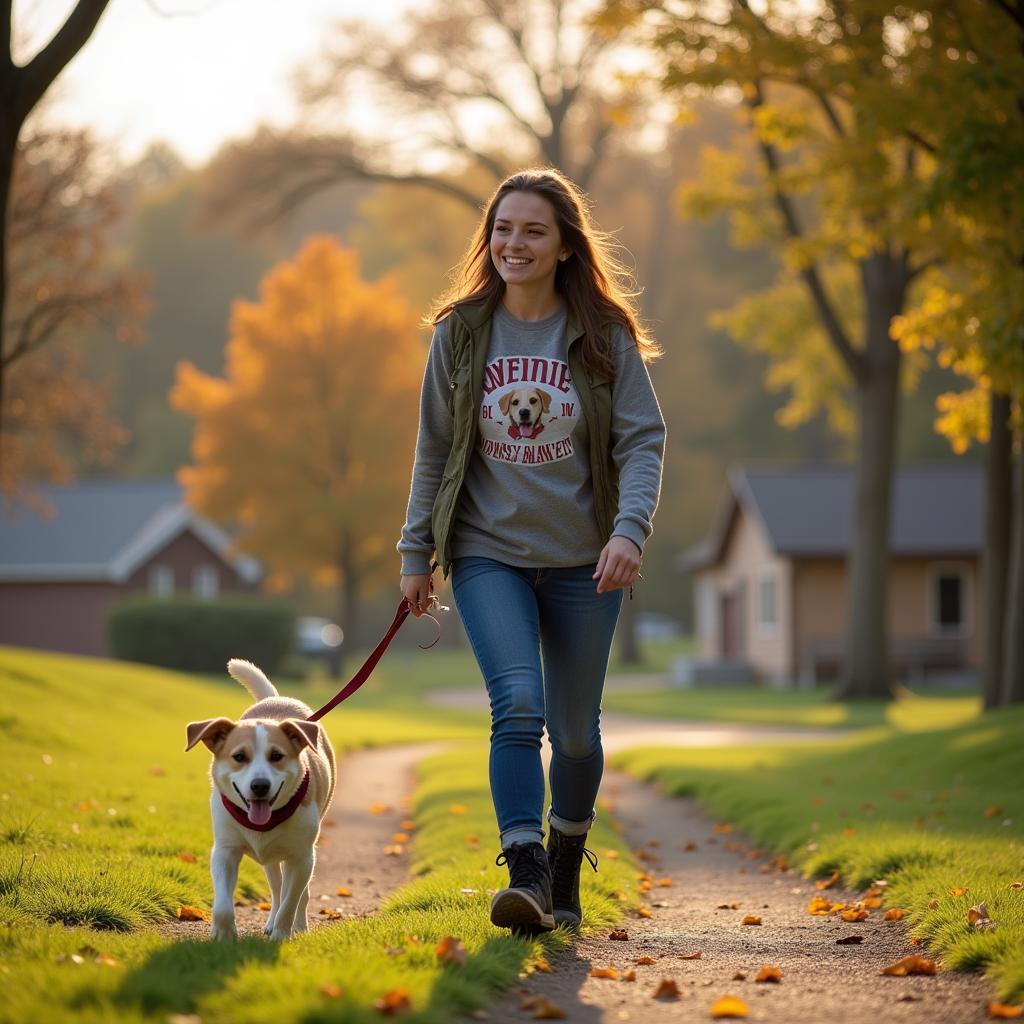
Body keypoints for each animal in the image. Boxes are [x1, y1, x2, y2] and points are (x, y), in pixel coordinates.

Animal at [184, 659, 335, 937]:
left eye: (276, 756)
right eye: (239, 757)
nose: (260, 785)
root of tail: (277, 699)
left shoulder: (301, 856)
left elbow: (291, 901)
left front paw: (282, 933)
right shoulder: (225, 850)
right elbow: (223, 905)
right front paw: (223, 934)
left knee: (298, 894)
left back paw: (298, 925)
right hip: (271, 860)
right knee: (276, 888)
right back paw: (271, 920)